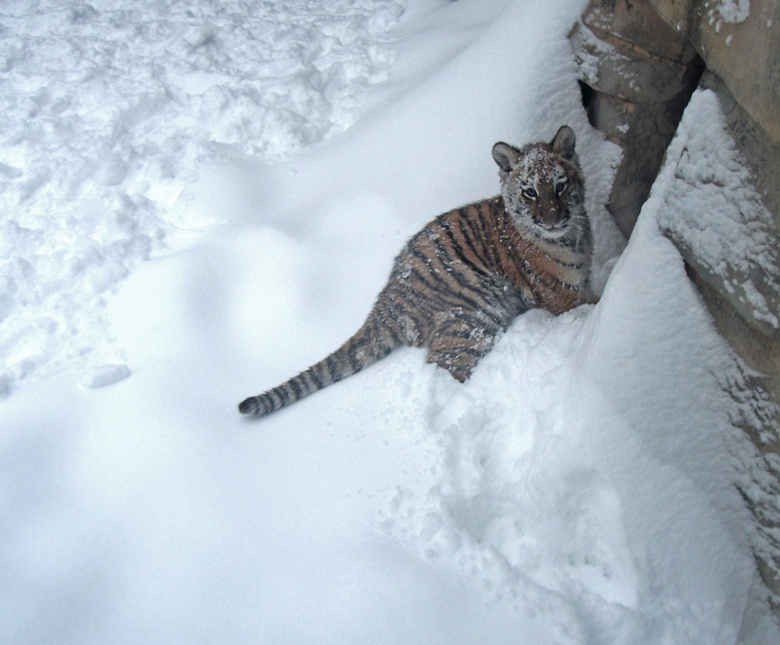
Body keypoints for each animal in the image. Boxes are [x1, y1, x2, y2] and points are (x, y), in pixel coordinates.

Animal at [238, 126, 592, 418]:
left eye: (560, 186)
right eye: (530, 191)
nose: (552, 220)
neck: (572, 235)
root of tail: (388, 294)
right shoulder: (563, 296)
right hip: (472, 318)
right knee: (445, 367)